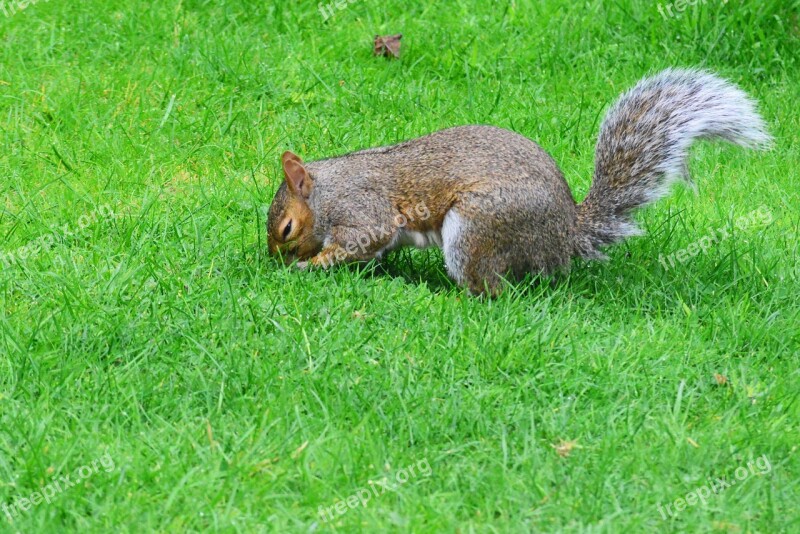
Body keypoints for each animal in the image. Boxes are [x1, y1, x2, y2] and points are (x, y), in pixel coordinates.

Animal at [268, 68, 768, 296]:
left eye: (287, 229)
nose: (273, 262)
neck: (328, 190)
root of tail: (564, 235)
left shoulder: (361, 210)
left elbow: (361, 239)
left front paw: (311, 265)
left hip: (477, 227)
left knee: (492, 289)